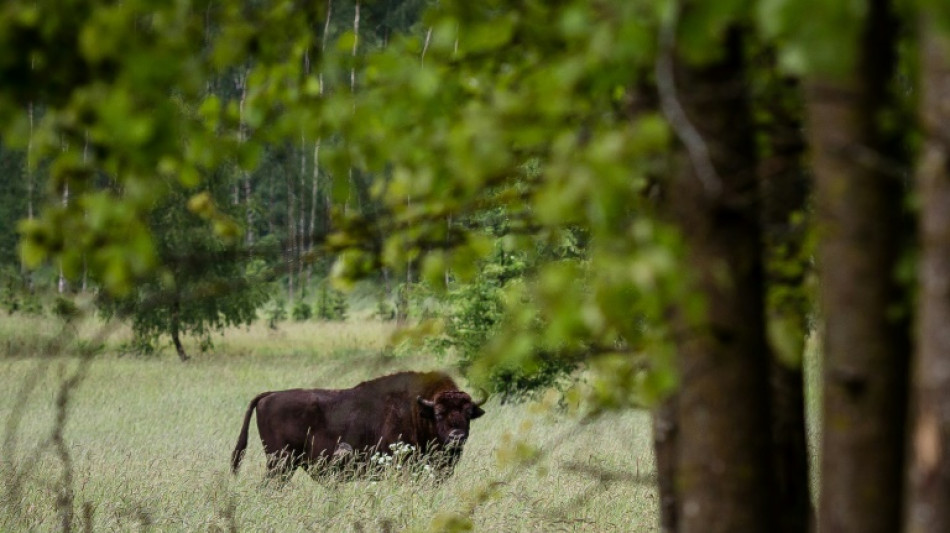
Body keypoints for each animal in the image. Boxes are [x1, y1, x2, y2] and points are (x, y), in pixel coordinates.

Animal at [229, 370, 484, 482]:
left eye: (468, 414)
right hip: (280, 463)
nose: (457, 436)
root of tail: (269, 396)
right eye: (439, 413)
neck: (419, 410)